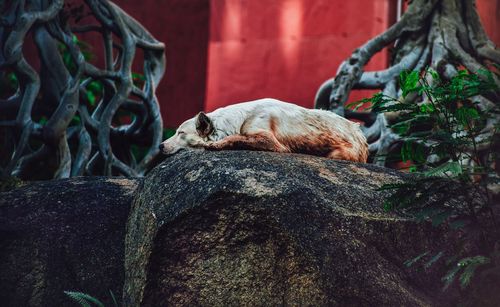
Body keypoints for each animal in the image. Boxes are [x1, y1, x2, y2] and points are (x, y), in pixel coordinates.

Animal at [160, 99, 368, 164]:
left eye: (180, 133)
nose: (160, 146)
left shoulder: (272, 142)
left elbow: (238, 137)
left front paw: (215, 144)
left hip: (339, 153)